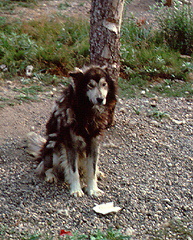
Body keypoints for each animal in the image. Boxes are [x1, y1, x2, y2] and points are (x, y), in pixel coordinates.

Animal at [27, 65, 117, 197]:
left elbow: (92, 170)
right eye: (90, 85)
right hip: (55, 150)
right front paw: (76, 189)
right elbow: (73, 172)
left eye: (104, 84)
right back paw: (51, 176)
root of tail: (42, 150)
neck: (87, 112)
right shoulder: (71, 145)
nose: (100, 99)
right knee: (46, 168)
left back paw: (98, 172)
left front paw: (93, 189)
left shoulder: (94, 144)